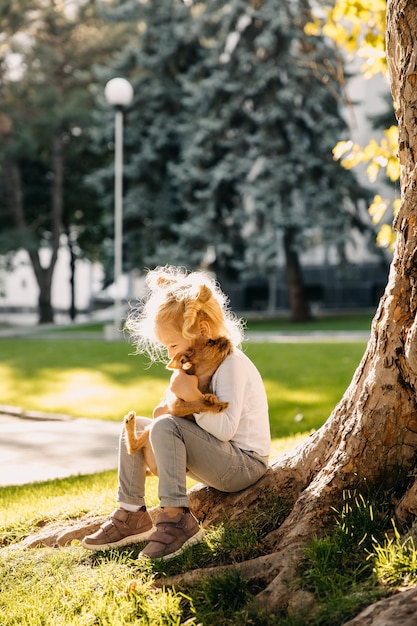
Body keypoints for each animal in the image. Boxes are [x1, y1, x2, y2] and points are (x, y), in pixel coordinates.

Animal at [123, 336, 234, 472]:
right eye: (210, 341)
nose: (226, 338)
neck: (201, 379)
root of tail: (154, 469)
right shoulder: (176, 406)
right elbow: (197, 404)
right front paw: (217, 405)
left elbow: (201, 401)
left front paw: (211, 398)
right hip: (150, 429)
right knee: (133, 448)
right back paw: (130, 421)